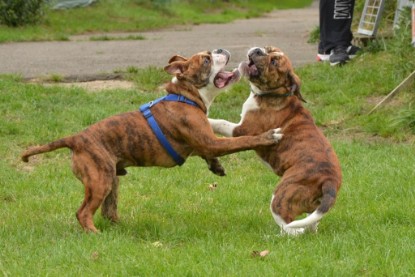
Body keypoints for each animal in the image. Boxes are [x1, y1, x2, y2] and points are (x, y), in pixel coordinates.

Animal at [21, 48, 284, 232]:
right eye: (206, 60)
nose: (220, 49)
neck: (186, 95)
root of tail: (75, 139)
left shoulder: (202, 142)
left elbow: (207, 153)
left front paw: (216, 166)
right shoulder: (211, 141)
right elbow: (243, 141)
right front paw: (267, 136)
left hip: (110, 179)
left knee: (108, 210)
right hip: (99, 180)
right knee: (83, 212)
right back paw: (95, 234)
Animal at [210, 46, 342, 234]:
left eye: (273, 62)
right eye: (269, 49)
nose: (258, 50)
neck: (275, 94)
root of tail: (330, 181)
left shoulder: (242, 130)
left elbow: (221, 122)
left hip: (281, 196)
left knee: (290, 229)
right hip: (313, 207)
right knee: (311, 224)